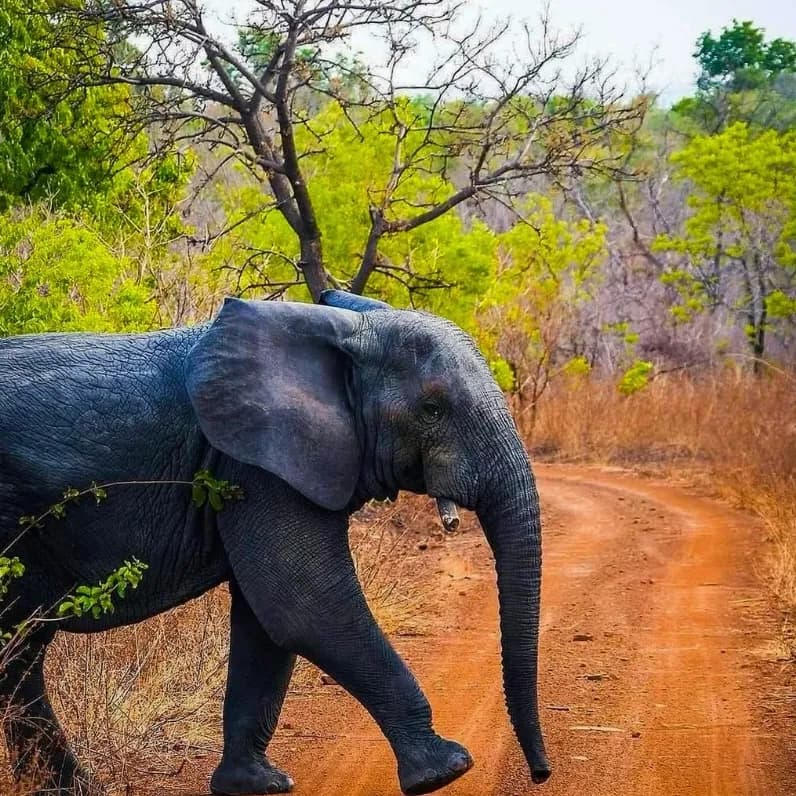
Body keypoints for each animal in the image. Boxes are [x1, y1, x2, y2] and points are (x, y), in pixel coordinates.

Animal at [0, 290, 550, 795]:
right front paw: (445, 770)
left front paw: (256, 784)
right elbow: (305, 604)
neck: (345, 330)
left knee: (21, 653)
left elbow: (266, 623)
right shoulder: (256, 465)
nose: (541, 773)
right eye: (433, 409)